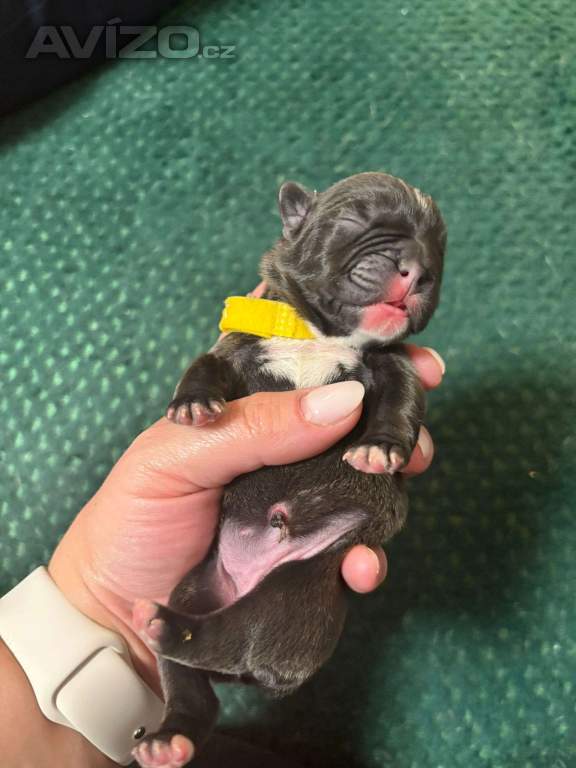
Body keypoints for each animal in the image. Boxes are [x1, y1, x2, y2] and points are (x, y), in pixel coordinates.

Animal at [132, 172, 446, 768]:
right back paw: (169, 730)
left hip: (301, 587)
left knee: (235, 638)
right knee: (193, 685)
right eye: (355, 220)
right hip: (199, 581)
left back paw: (170, 633)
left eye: (441, 247)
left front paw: (380, 449)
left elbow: (403, 397)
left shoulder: (392, 361)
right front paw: (193, 403)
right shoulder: (234, 347)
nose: (419, 267)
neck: (319, 333)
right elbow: (205, 364)